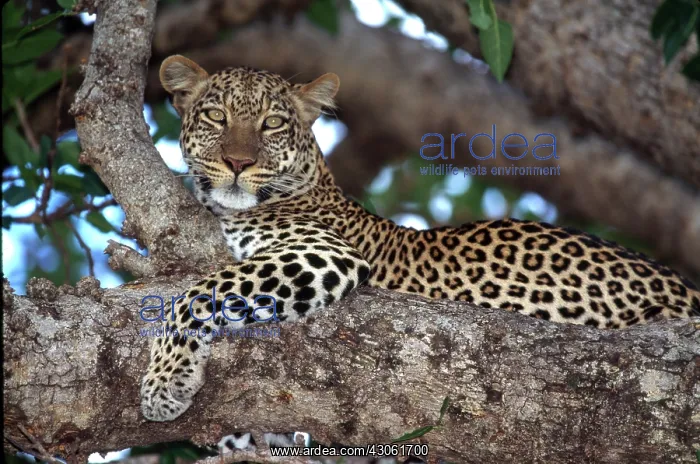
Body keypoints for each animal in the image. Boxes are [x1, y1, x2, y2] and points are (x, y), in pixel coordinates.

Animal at [140, 55, 700, 429]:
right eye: (216, 116)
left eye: (273, 123)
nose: (238, 163)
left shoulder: (322, 252)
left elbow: (195, 292)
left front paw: (163, 383)